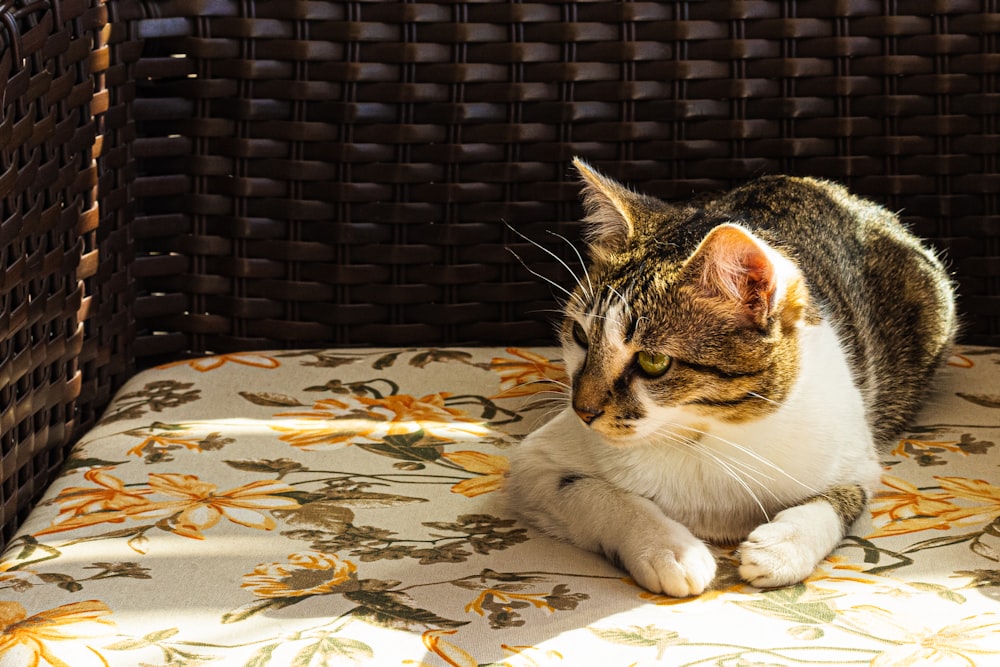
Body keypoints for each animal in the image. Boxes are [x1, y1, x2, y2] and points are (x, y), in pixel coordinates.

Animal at [508, 159, 960, 596]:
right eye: (580, 336)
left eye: (653, 361)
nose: (582, 410)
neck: (705, 437)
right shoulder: (534, 464)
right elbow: (593, 493)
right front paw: (670, 549)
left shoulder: (856, 456)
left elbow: (845, 497)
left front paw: (783, 546)